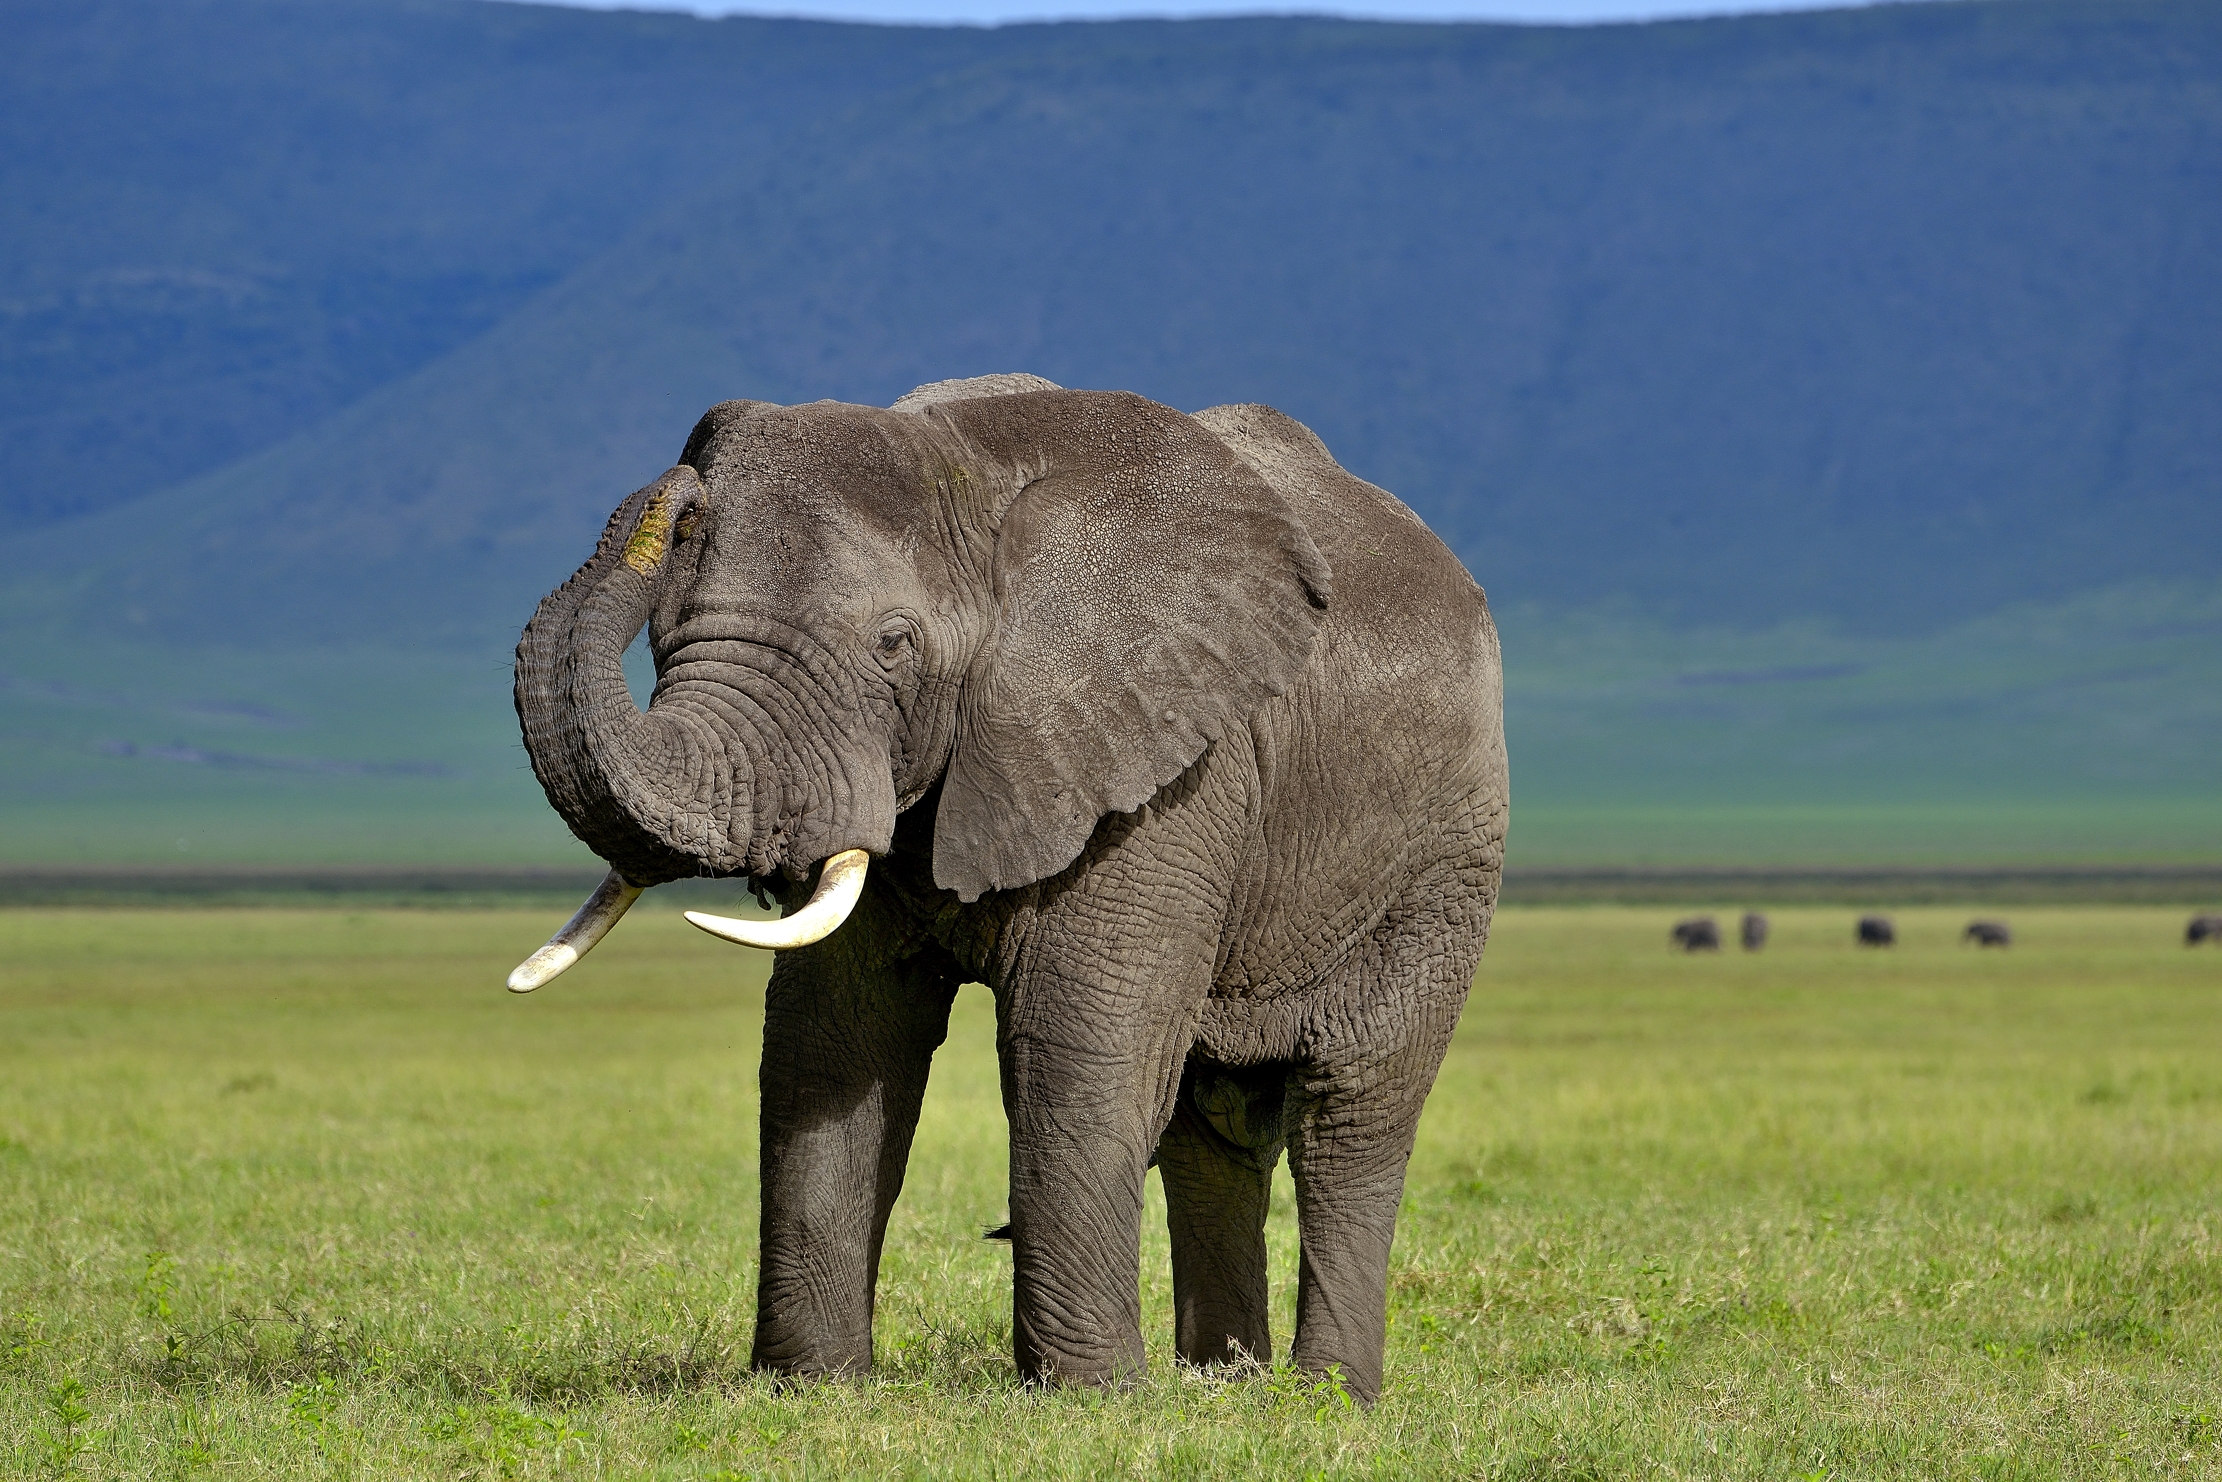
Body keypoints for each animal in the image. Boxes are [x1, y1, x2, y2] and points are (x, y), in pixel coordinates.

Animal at [504, 374, 1507, 1402]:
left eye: (894, 644)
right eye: (663, 636)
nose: (673, 495)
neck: (968, 465)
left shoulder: (1166, 770)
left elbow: (1082, 1047)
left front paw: (1092, 1399)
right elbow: (831, 1043)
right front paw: (811, 1388)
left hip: (1445, 859)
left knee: (1352, 1109)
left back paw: (1324, 1395)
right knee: (1212, 1129)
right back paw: (1221, 1385)